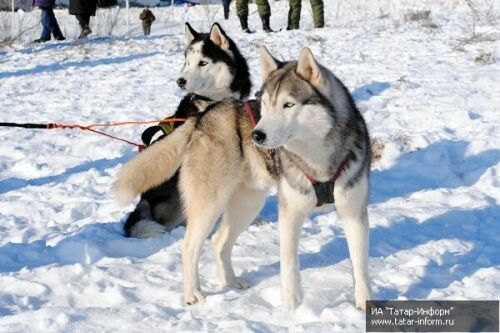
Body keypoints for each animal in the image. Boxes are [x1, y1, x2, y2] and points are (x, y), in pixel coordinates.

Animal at [114, 46, 372, 308]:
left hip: (248, 203)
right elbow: (289, 266)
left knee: (219, 241)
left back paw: (230, 281)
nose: (256, 135)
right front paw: (293, 308)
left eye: (288, 104)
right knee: (189, 246)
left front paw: (364, 303)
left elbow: (360, 265)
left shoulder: (354, 213)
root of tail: (201, 118)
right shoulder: (291, 214)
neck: (316, 159)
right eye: (265, 104)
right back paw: (193, 294)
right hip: (211, 202)